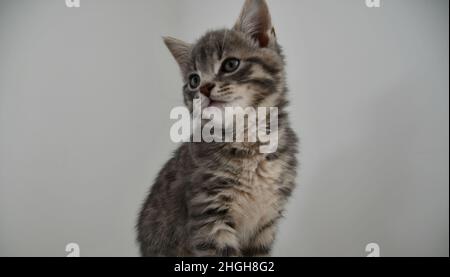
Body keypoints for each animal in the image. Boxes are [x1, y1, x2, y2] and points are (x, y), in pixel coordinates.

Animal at [137, 0, 298, 256]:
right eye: (194, 80)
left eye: (230, 64)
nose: (204, 88)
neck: (247, 137)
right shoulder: (209, 214)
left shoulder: (266, 223)